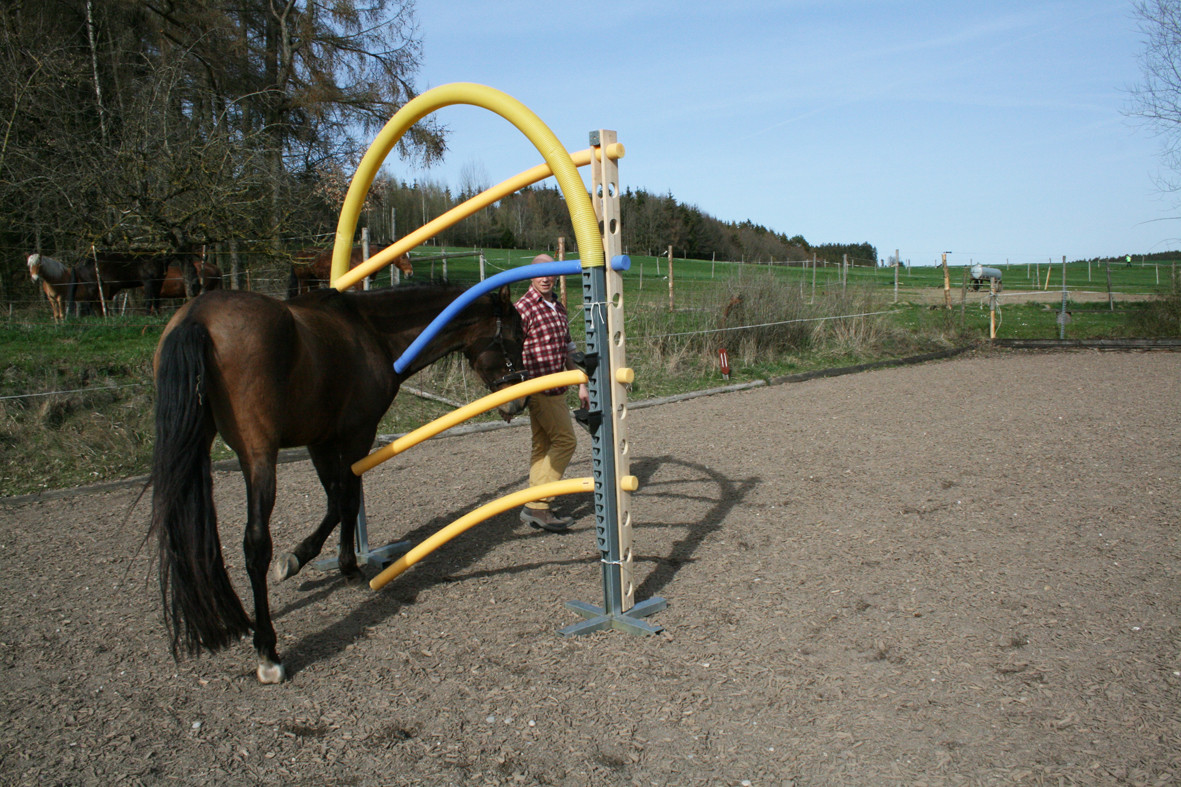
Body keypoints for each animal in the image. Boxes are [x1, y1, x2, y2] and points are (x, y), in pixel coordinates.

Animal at [149, 282, 527, 683]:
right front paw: (348, 567)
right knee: (255, 545)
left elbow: (334, 501)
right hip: (258, 457)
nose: (516, 403)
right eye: (516, 337)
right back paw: (268, 650)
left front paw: (298, 557)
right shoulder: (356, 435)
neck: (370, 330)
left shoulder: (320, 440)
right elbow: (347, 500)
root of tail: (197, 317)